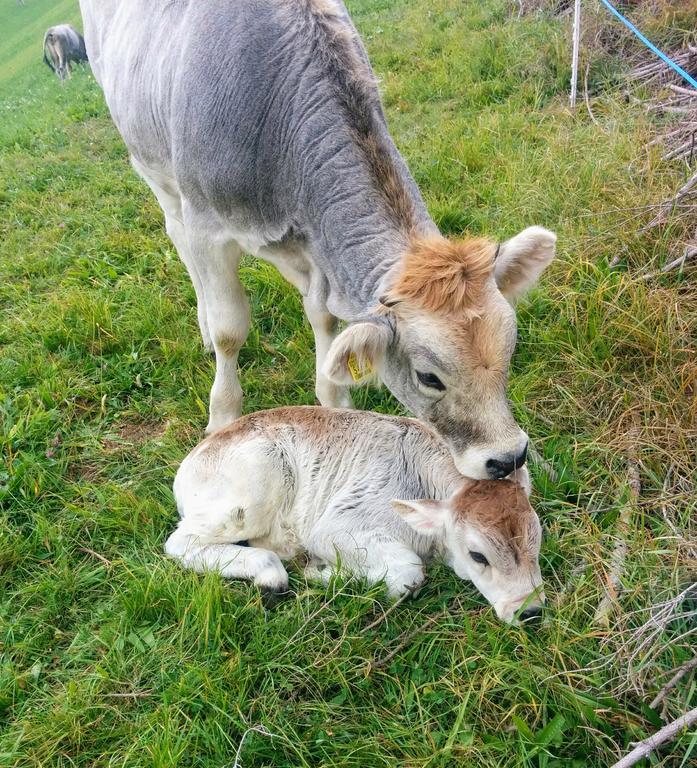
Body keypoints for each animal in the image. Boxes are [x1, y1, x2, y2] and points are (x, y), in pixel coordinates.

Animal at [77, 0, 556, 480]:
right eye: (429, 377)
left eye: (511, 350)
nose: (508, 457)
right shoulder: (207, 225)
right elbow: (231, 328)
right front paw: (223, 415)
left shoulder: (315, 244)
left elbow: (324, 318)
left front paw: (334, 401)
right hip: (154, 170)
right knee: (177, 239)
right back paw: (203, 323)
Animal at [164, 408, 544, 624]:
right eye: (478, 555)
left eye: (537, 545)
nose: (530, 612)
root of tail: (188, 466)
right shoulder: (335, 527)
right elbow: (408, 576)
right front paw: (320, 572)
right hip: (250, 494)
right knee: (180, 543)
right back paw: (271, 577)